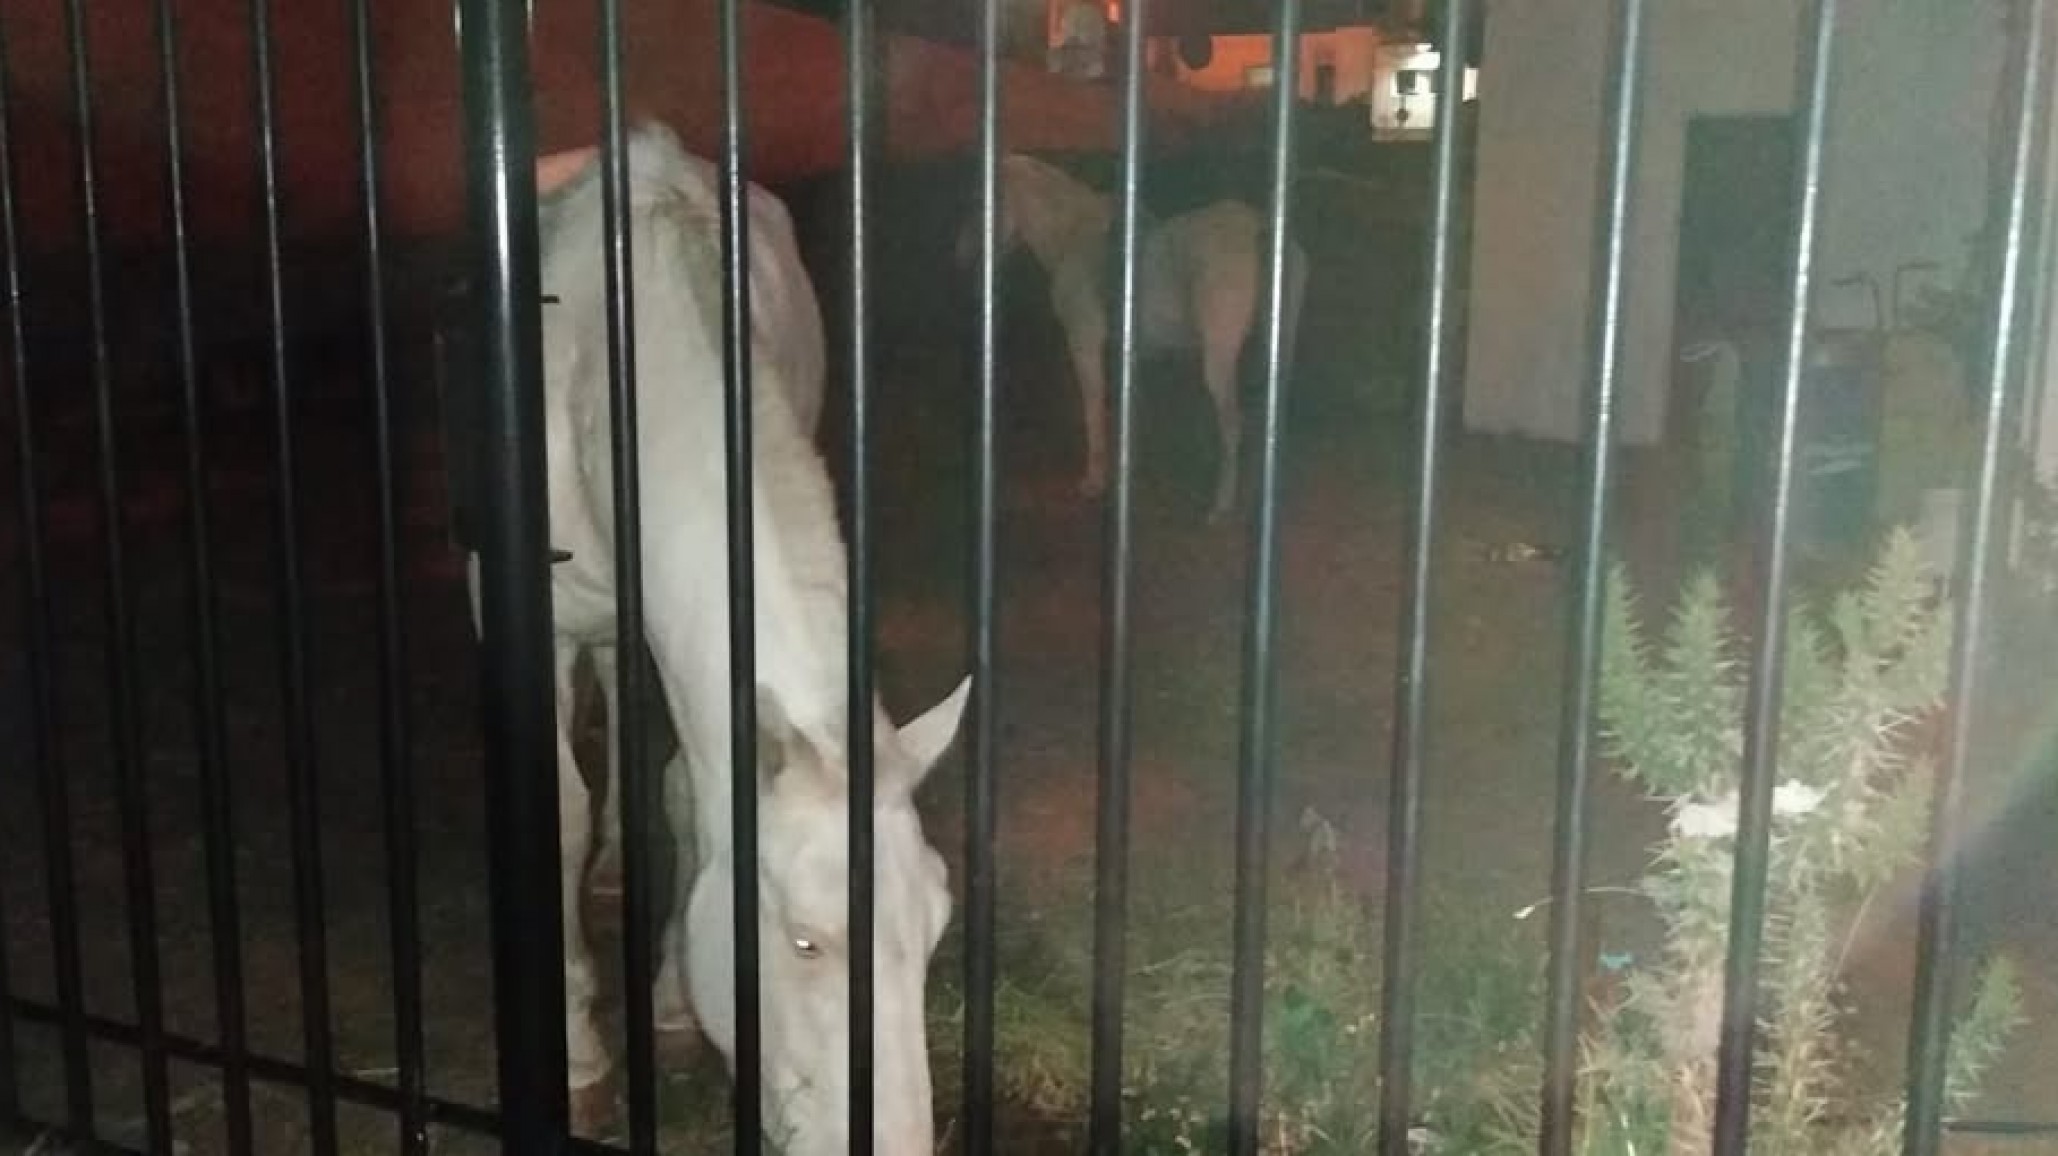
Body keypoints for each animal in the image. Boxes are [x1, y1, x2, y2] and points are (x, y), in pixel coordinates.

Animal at [474, 120, 970, 1153]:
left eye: (939, 927)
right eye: (805, 940)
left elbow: (682, 797)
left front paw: (667, 1000)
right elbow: (561, 806)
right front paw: (580, 1051)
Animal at [958, 152, 1308, 521]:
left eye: (980, 202)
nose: (960, 258)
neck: (1071, 236)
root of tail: (1261, 228)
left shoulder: (1084, 341)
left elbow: (1093, 406)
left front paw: (1094, 482)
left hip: (1220, 358)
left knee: (1232, 426)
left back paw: (1221, 506)